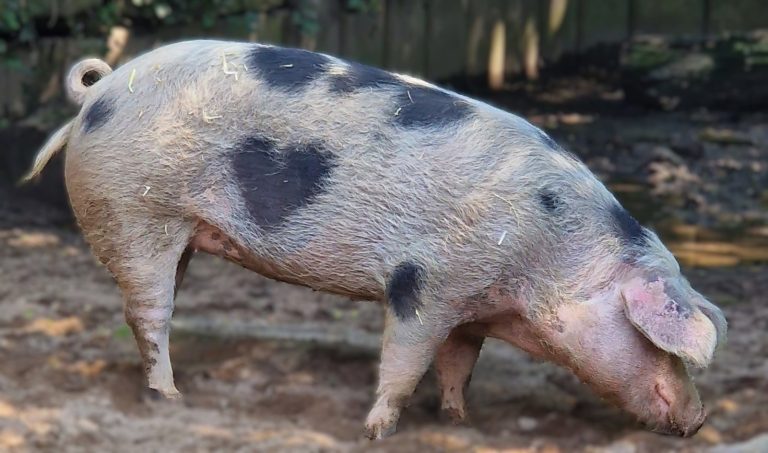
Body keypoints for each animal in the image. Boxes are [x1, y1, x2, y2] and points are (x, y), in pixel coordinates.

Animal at [24, 40, 726, 439]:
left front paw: (461, 423)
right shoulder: (427, 282)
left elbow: (458, 364)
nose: (699, 420)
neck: (549, 256)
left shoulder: (471, 307)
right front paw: (377, 431)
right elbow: (405, 360)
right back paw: (170, 398)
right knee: (151, 312)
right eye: (658, 343)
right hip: (136, 211)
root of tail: (98, 93)